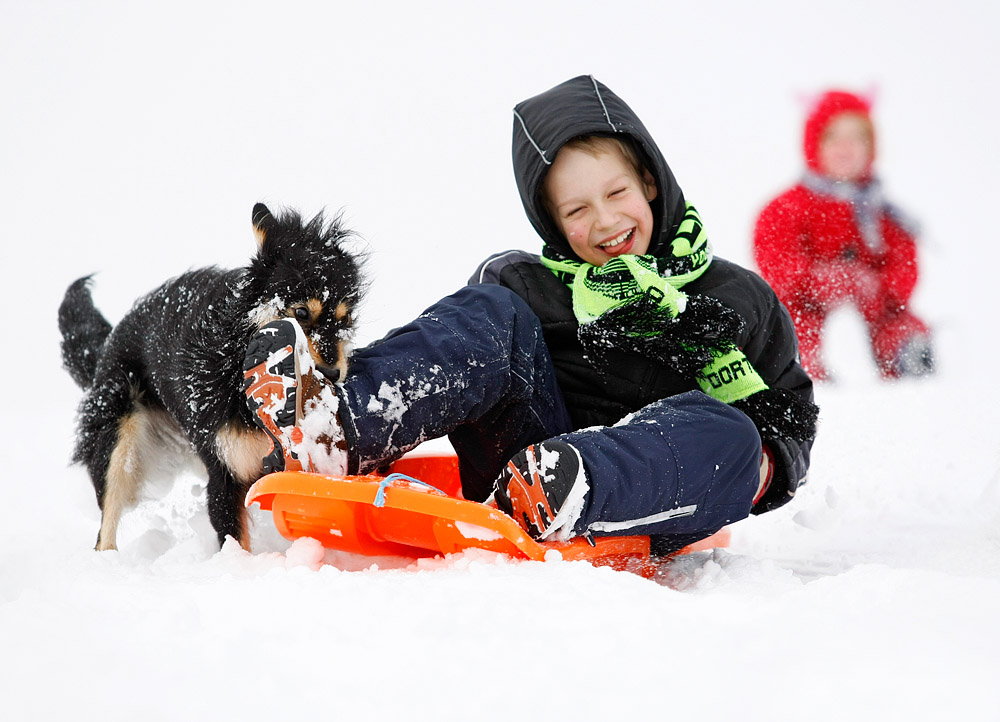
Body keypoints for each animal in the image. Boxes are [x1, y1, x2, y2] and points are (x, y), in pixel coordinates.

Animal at [58, 202, 366, 552]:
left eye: (347, 318)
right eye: (301, 312)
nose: (333, 372)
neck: (236, 357)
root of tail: (108, 343)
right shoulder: (225, 474)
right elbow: (235, 541)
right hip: (119, 442)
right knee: (106, 523)